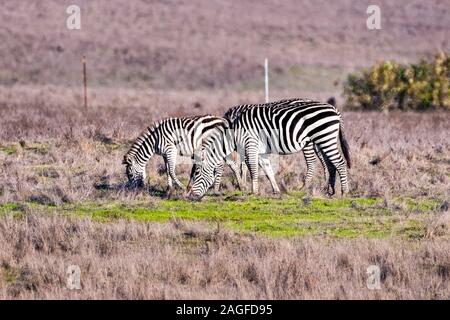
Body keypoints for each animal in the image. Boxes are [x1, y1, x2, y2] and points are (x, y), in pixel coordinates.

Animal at [190, 99, 352, 199]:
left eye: (197, 174)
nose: (191, 196)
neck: (234, 132)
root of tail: (334, 109)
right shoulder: (260, 151)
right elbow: (268, 170)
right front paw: (276, 190)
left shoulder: (251, 145)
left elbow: (252, 169)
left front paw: (253, 191)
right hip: (324, 139)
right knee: (331, 164)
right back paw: (330, 191)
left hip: (324, 137)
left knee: (339, 162)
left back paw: (344, 192)